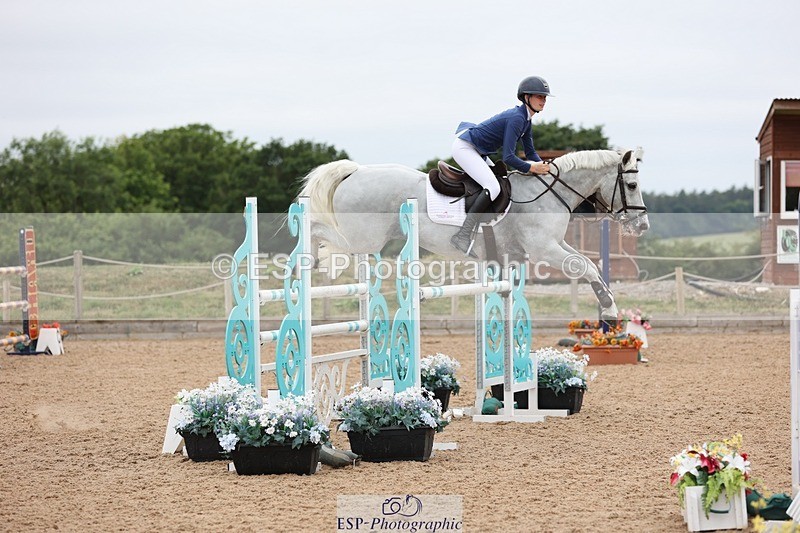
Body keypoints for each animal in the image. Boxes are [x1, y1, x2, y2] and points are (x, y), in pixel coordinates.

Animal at [297, 148, 649, 318]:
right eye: (632, 185)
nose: (642, 226)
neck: (548, 191)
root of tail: (356, 171)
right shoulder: (544, 249)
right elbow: (585, 266)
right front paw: (610, 309)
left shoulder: (552, 245)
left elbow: (591, 266)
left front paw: (608, 305)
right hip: (362, 237)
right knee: (317, 228)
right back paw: (307, 258)